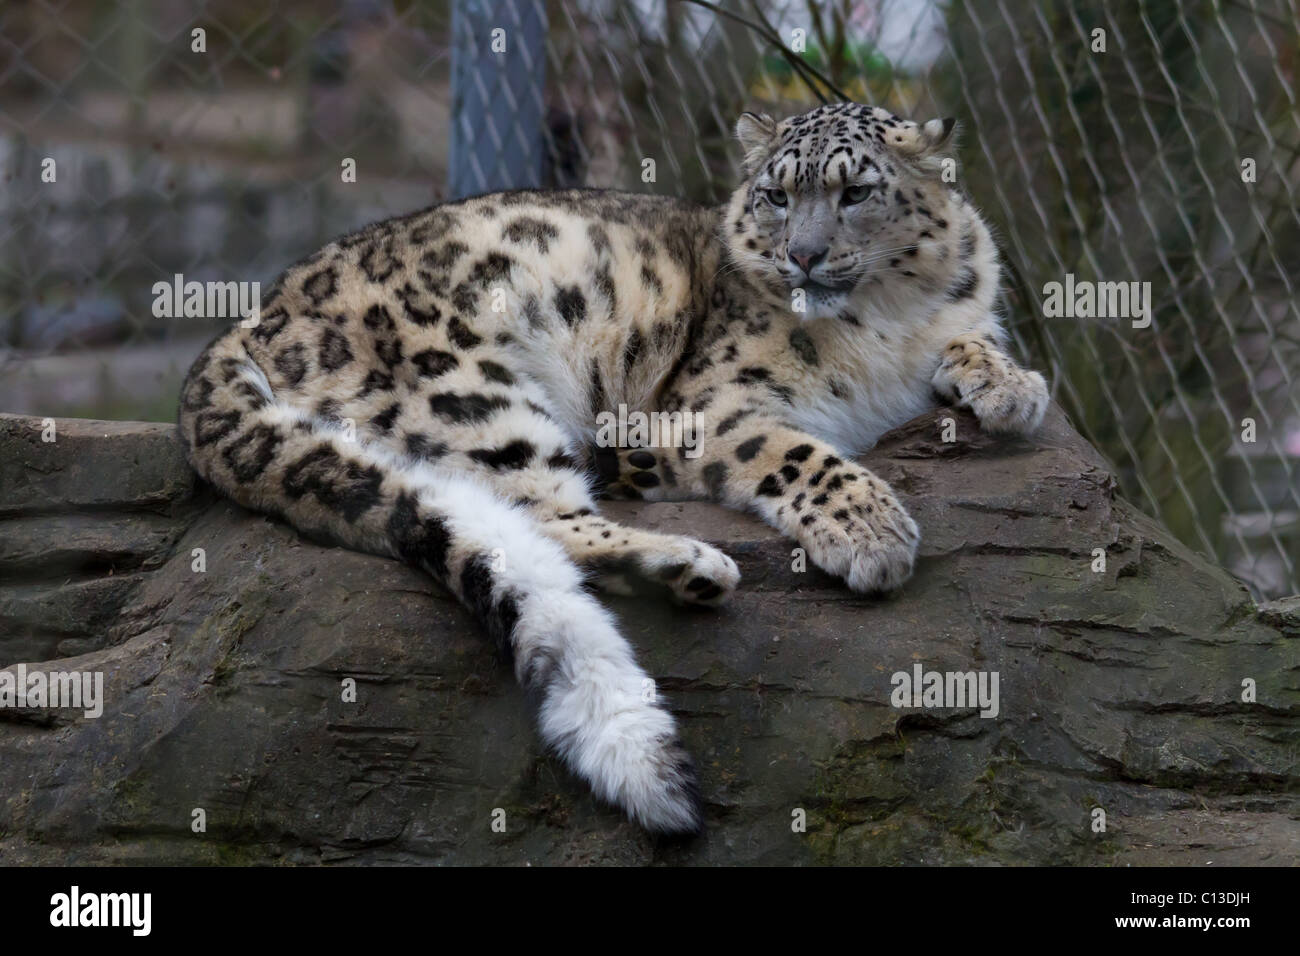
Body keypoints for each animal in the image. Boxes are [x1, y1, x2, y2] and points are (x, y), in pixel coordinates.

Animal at [177, 101, 1049, 836]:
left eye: (857, 191)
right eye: (775, 195)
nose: (802, 257)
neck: (889, 322)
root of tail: (251, 318)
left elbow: (974, 334)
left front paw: (1012, 387)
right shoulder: (704, 409)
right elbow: (798, 455)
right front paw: (872, 530)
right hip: (473, 392)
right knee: (539, 520)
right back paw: (690, 564)